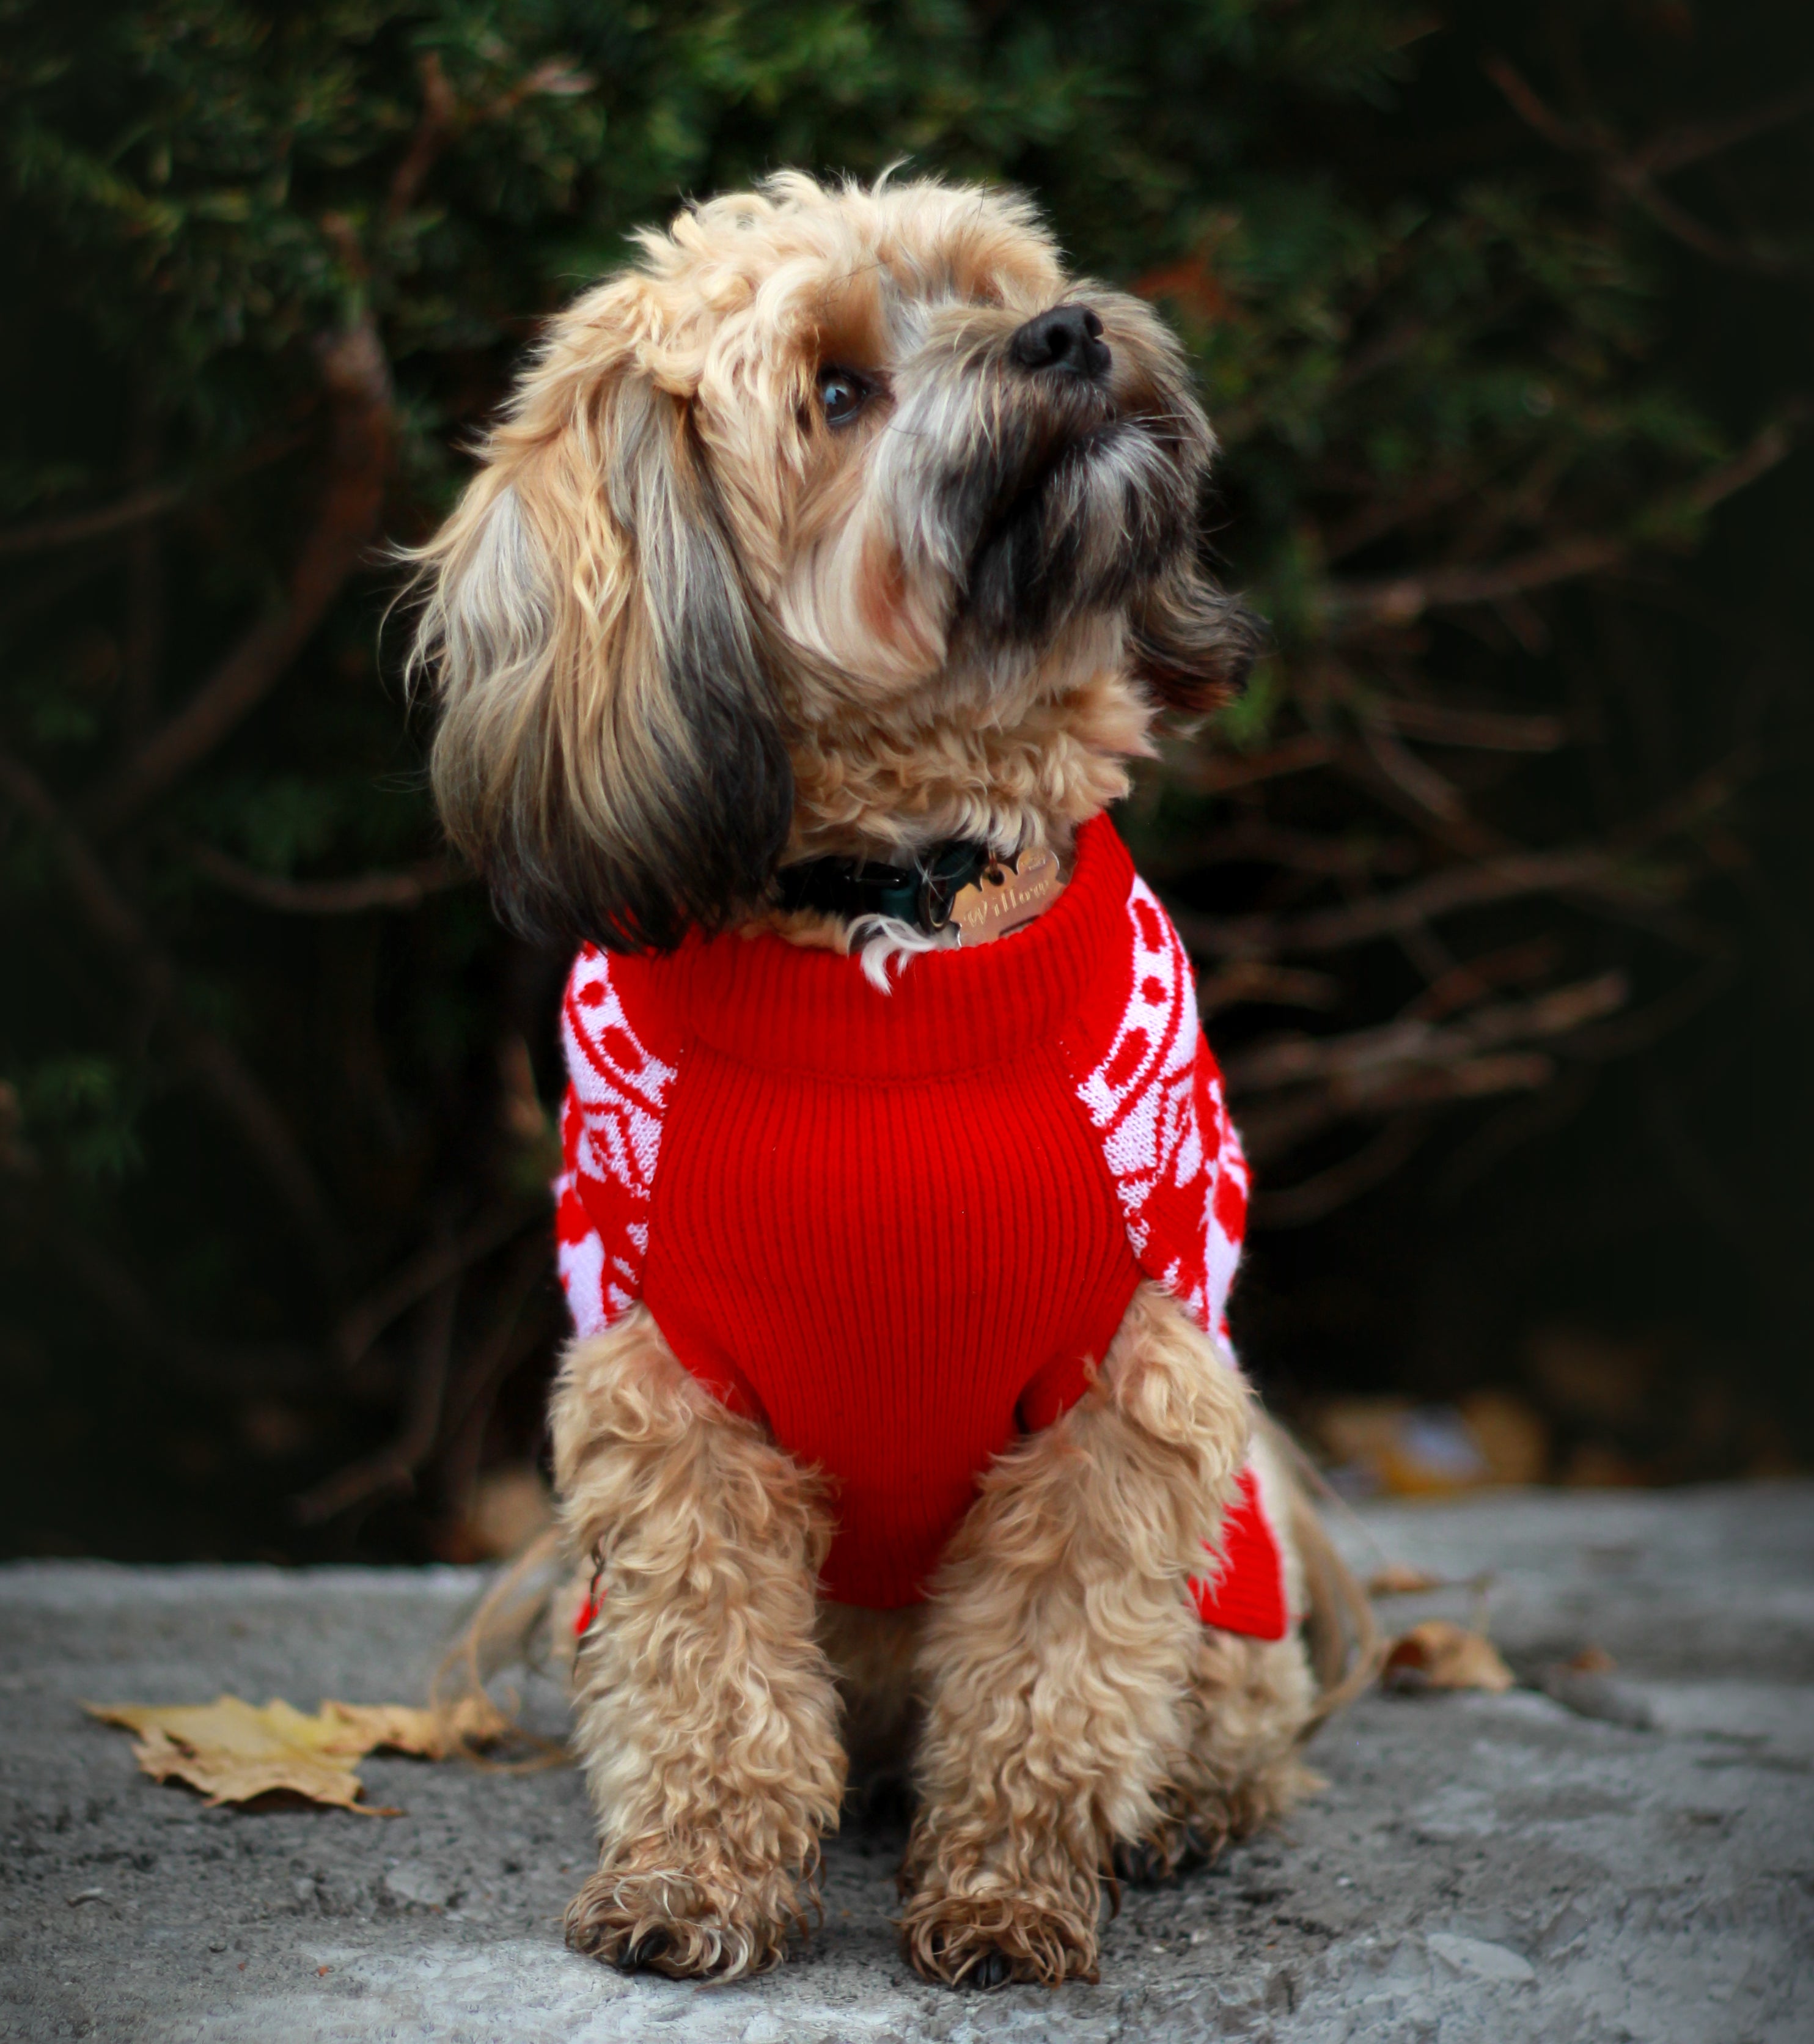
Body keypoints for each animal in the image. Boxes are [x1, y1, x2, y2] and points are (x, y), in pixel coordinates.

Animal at [410, 167, 1364, 1987]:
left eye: (995, 288)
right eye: (838, 391)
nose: (1067, 332)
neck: (900, 909)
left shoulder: (1125, 1383)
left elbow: (1055, 1674)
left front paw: (1008, 1888)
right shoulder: (670, 1392)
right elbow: (704, 1665)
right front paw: (693, 1878)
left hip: (1238, 1549)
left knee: (1227, 1699)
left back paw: (1187, 1804)